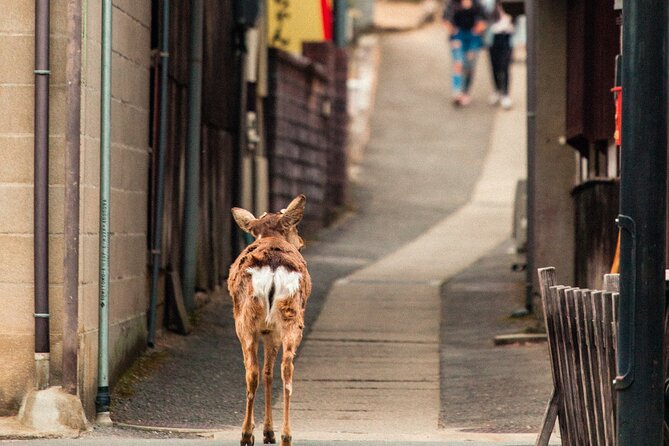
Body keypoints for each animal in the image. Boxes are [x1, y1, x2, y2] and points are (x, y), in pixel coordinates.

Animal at [228, 195, 312, 446]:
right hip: (291, 315)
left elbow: (265, 372)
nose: (301, 241)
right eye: (295, 228)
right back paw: (285, 436)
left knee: (253, 372)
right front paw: (268, 431)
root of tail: (274, 267)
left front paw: (266, 432)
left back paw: (248, 434)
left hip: (248, 320)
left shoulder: (265, 330)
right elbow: (270, 372)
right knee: (287, 367)